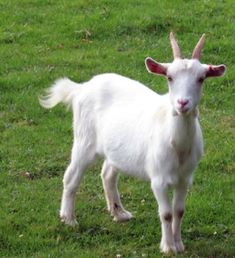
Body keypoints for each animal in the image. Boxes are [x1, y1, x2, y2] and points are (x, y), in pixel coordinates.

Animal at [39, 32, 225, 254]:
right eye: (169, 77)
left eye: (201, 78)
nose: (182, 103)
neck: (177, 144)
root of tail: (81, 87)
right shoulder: (158, 179)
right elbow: (166, 214)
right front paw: (168, 247)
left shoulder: (185, 178)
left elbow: (179, 211)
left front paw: (179, 244)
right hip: (84, 140)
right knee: (71, 176)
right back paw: (68, 218)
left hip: (114, 149)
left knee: (107, 174)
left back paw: (119, 213)